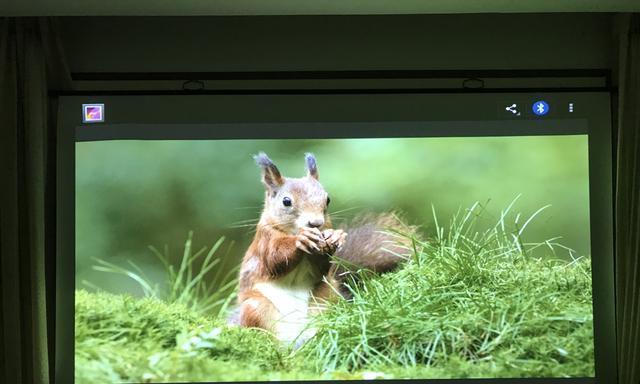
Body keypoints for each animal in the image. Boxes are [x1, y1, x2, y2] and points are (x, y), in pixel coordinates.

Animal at [238, 152, 412, 344]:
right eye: (286, 201)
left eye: (327, 199)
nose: (316, 223)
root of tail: (295, 337)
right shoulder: (264, 240)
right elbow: (274, 260)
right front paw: (301, 239)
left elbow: (320, 268)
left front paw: (335, 236)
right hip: (255, 307)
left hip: (328, 300)